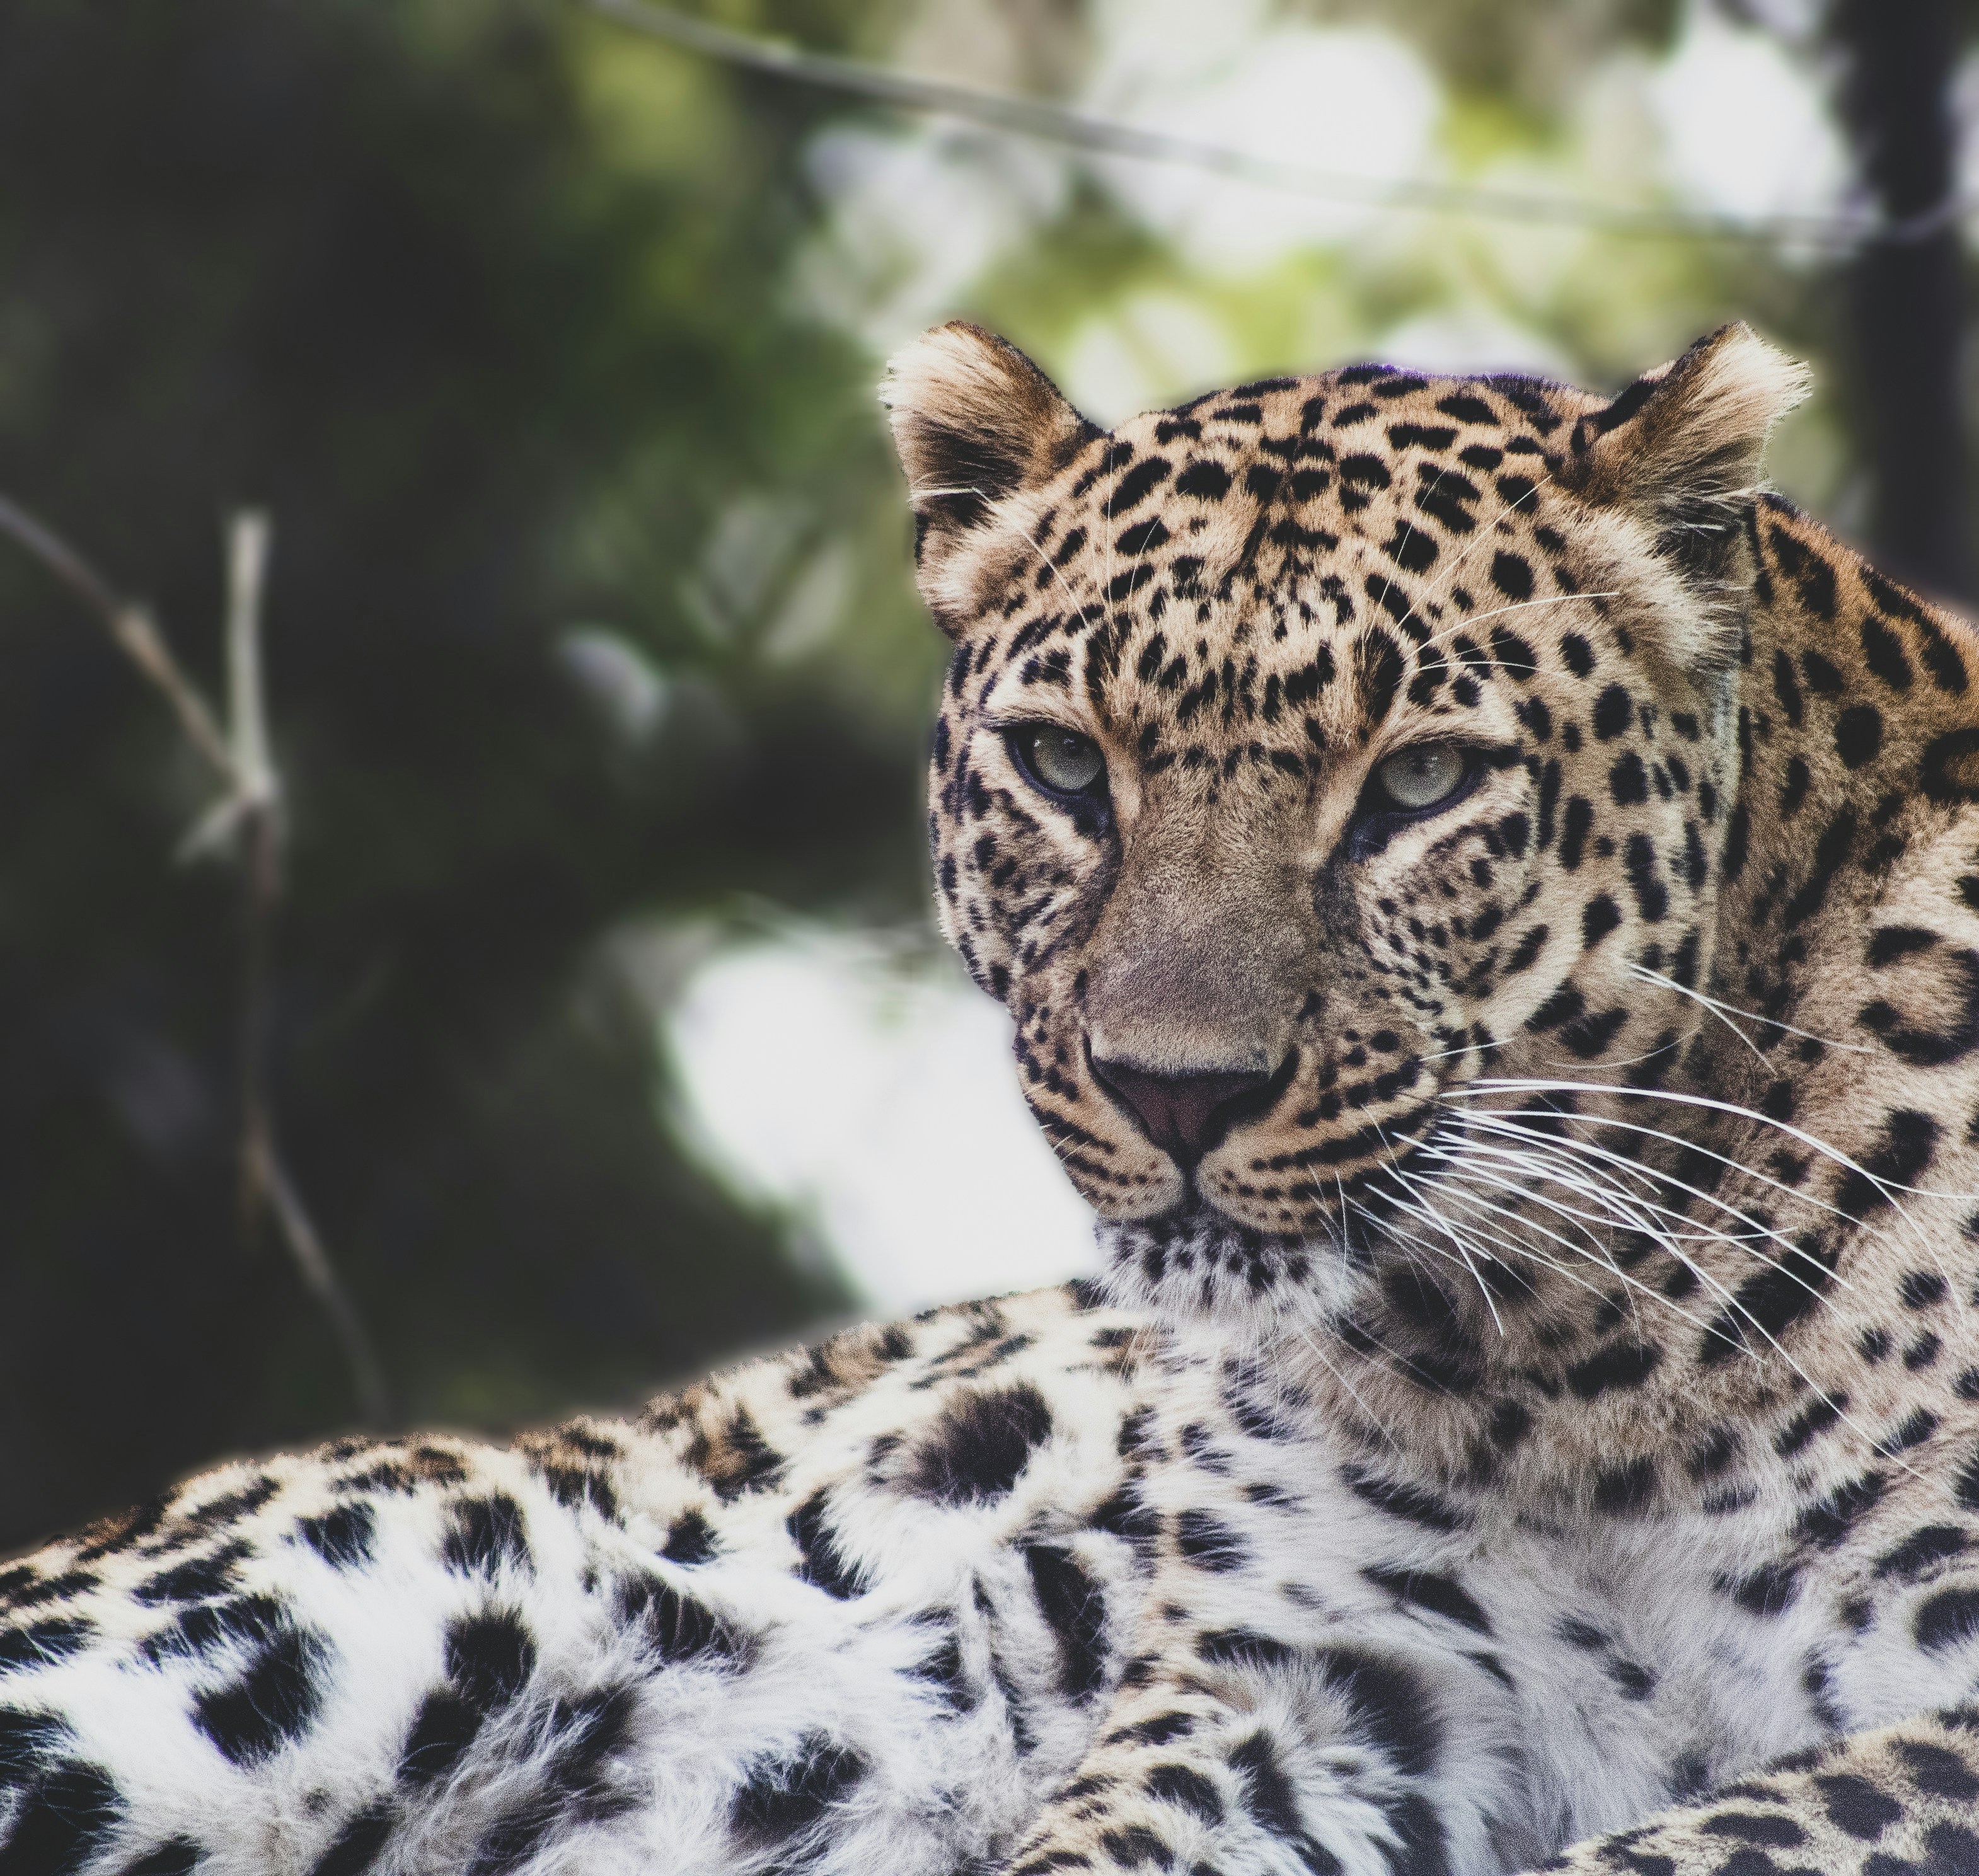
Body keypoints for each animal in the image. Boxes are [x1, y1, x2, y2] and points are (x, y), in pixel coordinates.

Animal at [8, 317, 1979, 1876]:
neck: (1578, 1375)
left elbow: (1708, 1836)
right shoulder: (1309, 1685)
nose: (1175, 1094)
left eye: (1419, 783)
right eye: (1060, 765)